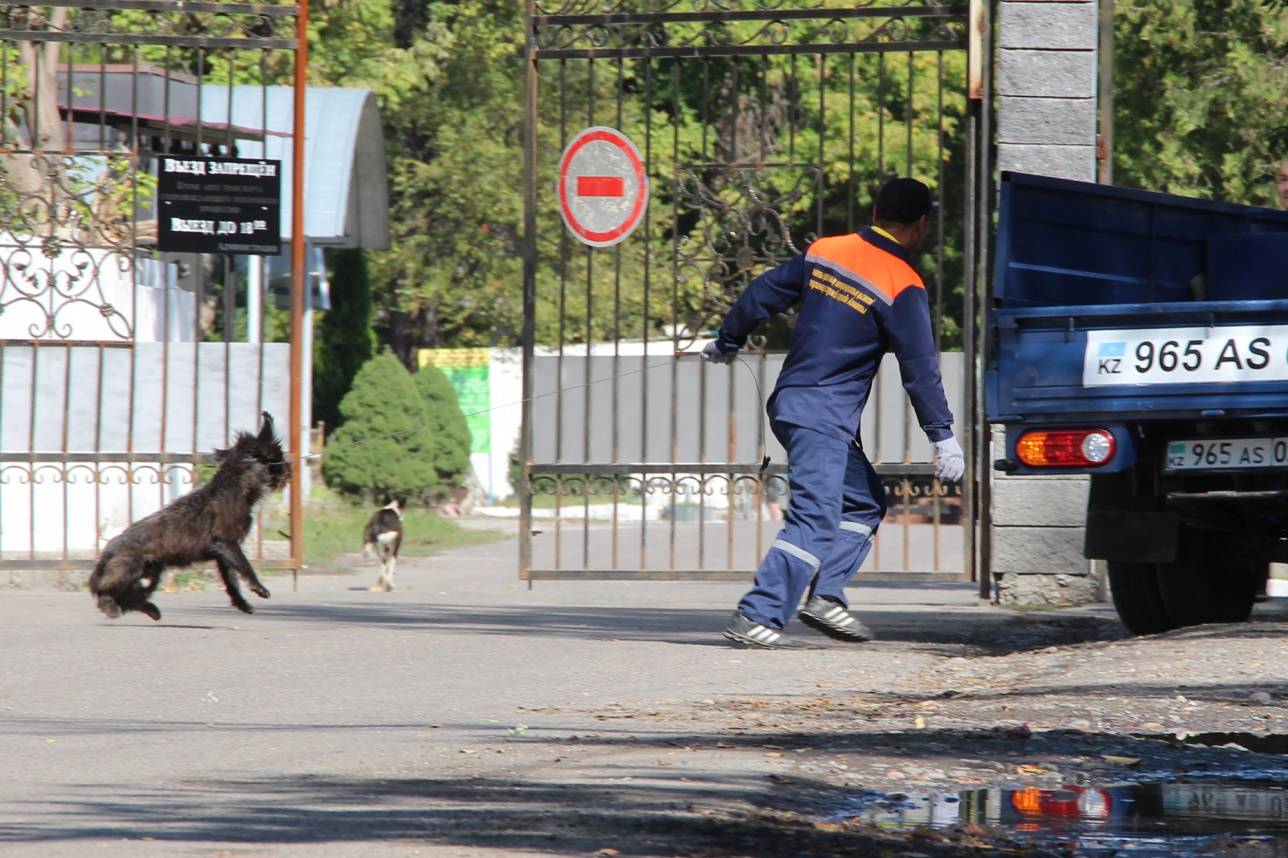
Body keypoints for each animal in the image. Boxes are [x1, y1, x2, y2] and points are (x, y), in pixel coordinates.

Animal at [89, 412, 291, 618]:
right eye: (278, 457)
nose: (289, 470)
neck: (232, 488)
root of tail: (107, 552)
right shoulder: (227, 543)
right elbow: (245, 566)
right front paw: (258, 587)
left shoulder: (223, 555)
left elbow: (232, 582)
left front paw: (242, 603)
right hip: (130, 567)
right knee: (108, 590)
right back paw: (112, 604)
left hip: (153, 570)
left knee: (131, 596)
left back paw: (146, 608)